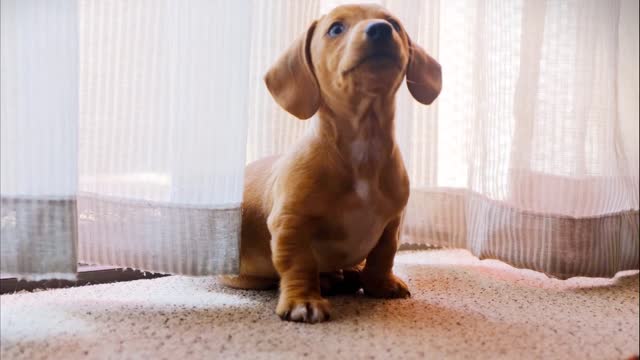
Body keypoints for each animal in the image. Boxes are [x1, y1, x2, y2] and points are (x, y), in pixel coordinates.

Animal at [220, 3, 440, 324]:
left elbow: (383, 255)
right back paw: (328, 280)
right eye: (336, 29)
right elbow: (299, 264)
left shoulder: (392, 222)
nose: (380, 29)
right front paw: (303, 300)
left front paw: (380, 284)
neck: (364, 147)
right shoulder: (291, 222)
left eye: (394, 24)